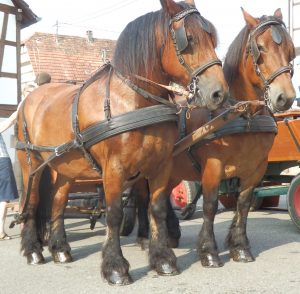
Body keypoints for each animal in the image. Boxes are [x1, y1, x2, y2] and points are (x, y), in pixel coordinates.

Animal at [14, 0, 227, 284]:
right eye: (189, 39)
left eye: (212, 38)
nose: (219, 93)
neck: (131, 100)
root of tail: (30, 97)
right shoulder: (114, 169)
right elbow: (114, 213)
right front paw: (115, 267)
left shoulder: (160, 165)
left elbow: (157, 208)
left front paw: (163, 259)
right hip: (31, 166)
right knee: (32, 202)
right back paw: (33, 251)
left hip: (65, 168)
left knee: (58, 202)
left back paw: (60, 249)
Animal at [135, 8, 296, 266]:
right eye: (260, 48)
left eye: (291, 50)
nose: (286, 97)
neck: (243, 114)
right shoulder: (213, 166)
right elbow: (210, 206)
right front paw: (209, 251)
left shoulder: (256, 167)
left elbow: (243, 204)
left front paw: (239, 247)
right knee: (143, 197)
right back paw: (145, 237)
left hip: (172, 170)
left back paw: (171, 234)